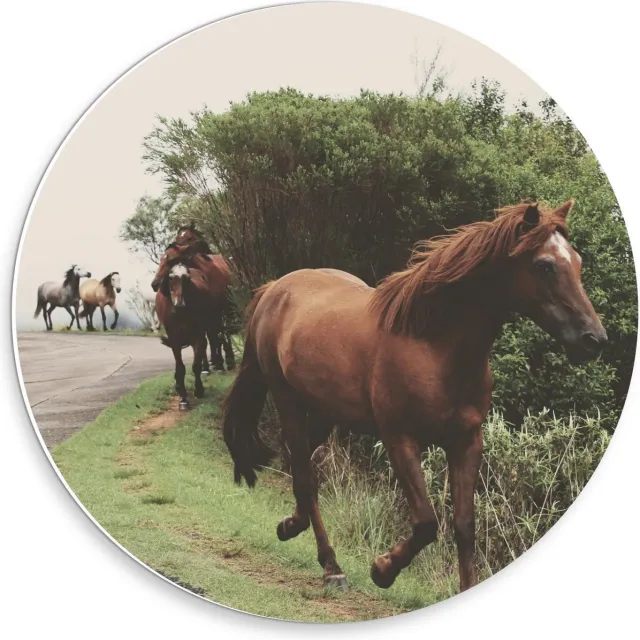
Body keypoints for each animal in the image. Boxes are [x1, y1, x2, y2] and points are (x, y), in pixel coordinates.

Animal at [155, 255, 214, 406]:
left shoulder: (198, 336)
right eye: (171, 278)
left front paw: (199, 390)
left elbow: (196, 365)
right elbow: (180, 367)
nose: (179, 305)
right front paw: (182, 395)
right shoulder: (174, 339)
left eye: (187, 278)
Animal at [222, 200, 607, 593]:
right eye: (544, 265)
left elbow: (464, 527)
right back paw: (331, 567)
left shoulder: (466, 443)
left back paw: (291, 526)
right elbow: (426, 522)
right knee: (305, 475)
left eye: (577, 261)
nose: (594, 339)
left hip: (325, 412)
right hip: (288, 401)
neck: (433, 346)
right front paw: (382, 569)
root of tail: (275, 288)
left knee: (297, 466)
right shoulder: (401, 440)